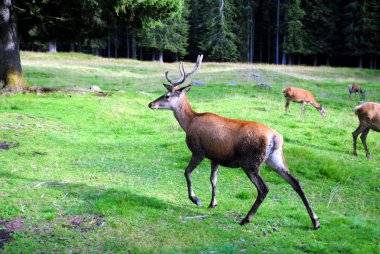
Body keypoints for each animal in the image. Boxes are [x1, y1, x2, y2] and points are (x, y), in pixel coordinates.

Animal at [148, 56, 320, 230]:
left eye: (167, 96)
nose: (151, 104)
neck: (189, 122)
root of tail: (275, 137)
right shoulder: (215, 156)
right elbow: (213, 180)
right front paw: (213, 203)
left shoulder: (198, 151)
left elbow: (187, 172)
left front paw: (196, 199)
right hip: (275, 159)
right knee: (296, 182)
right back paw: (315, 221)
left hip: (250, 162)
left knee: (264, 188)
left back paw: (246, 219)